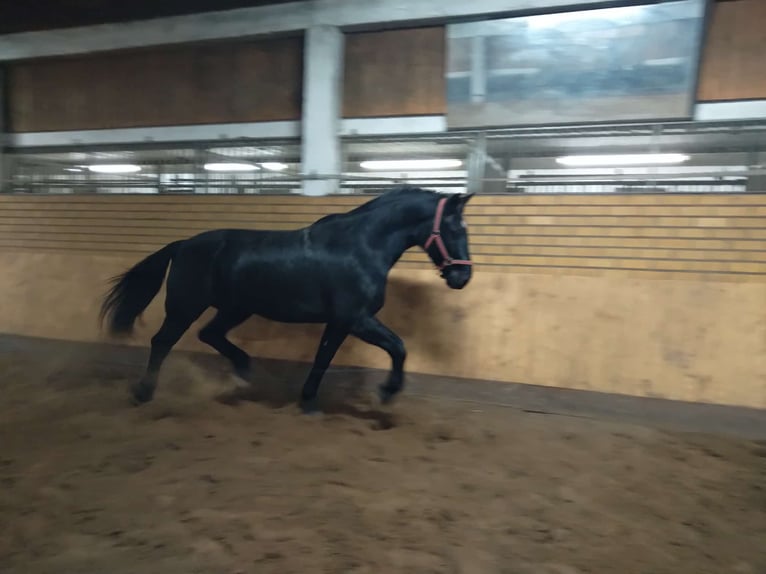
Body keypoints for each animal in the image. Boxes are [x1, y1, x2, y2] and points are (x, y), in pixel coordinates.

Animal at [100, 187, 474, 416]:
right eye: (456, 230)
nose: (462, 277)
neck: (361, 246)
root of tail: (183, 245)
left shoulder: (340, 322)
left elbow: (323, 359)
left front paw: (308, 402)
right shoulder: (356, 318)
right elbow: (397, 347)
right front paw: (387, 393)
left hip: (236, 308)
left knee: (210, 335)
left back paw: (242, 373)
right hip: (185, 307)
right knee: (162, 342)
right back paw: (144, 393)